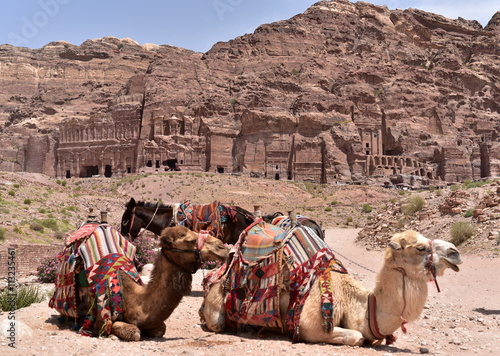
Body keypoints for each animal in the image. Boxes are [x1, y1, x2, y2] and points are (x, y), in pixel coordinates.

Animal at [83, 227, 229, 340]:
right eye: (190, 241)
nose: (222, 247)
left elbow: (160, 329)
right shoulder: (101, 321)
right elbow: (134, 333)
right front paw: (113, 334)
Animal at [199, 229, 460, 346]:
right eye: (420, 248)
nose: (455, 252)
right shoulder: (310, 326)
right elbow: (356, 336)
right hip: (216, 310)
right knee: (216, 321)